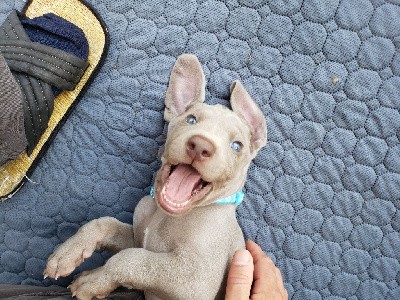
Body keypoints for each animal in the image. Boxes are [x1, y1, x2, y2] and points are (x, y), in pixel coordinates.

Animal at [44, 54, 266, 300]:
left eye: (237, 146)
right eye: (191, 120)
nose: (200, 146)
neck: (164, 214)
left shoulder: (197, 279)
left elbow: (130, 259)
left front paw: (94, 280)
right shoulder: (137, 236)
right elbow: (106, 224)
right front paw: (68, 252)